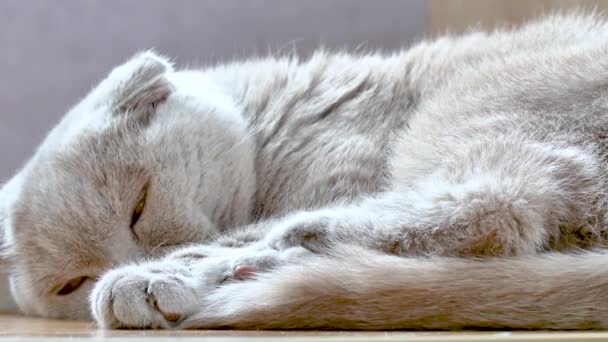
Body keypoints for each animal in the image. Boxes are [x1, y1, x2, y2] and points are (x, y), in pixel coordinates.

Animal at [1, 12, 608, 330]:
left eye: (138, 206)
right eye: (69, 283)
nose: (124, 261)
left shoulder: (349, 167)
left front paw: (162, 269)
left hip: (474, 104)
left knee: (500, 210)